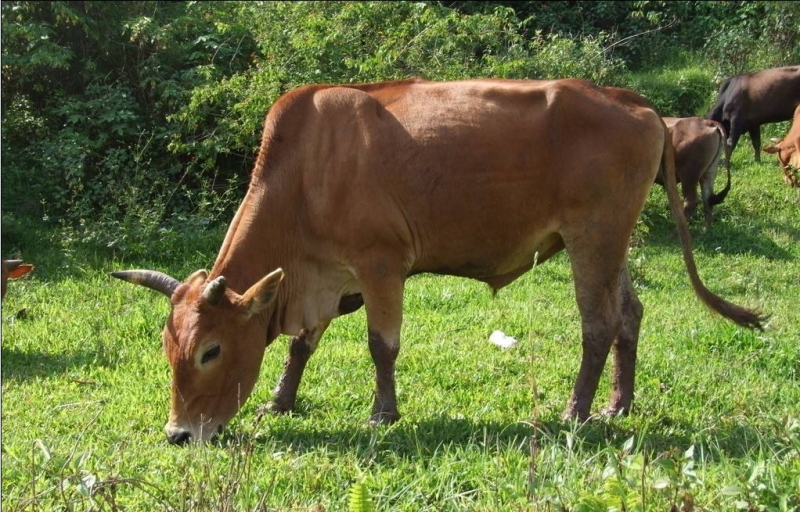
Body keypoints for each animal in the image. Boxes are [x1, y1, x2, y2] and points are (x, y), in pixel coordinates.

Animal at [111, 77, 764, 444]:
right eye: (168, 348)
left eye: (210, 351)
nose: (178, 434)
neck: (305, 171)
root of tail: (633, 102)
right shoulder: (328, 276)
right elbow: (302, 344)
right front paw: (281, 399)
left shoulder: (380, 265)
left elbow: (381, 346)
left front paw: (383, 414)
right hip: (612, 240)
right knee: (630, 313)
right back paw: (618, 403)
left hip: (594, 236)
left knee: (598, 324)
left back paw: (576, 411)